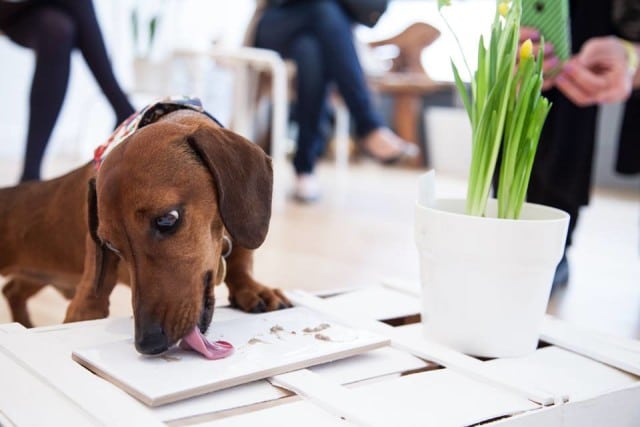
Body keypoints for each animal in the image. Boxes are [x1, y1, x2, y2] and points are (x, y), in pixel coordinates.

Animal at [0, 108, 290, 356]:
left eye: (167, 219)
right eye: (110, 245)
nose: (148, 343)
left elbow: (241, 264)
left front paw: (254, 289)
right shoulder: (88, 298)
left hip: (37, 275)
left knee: (12, 290)